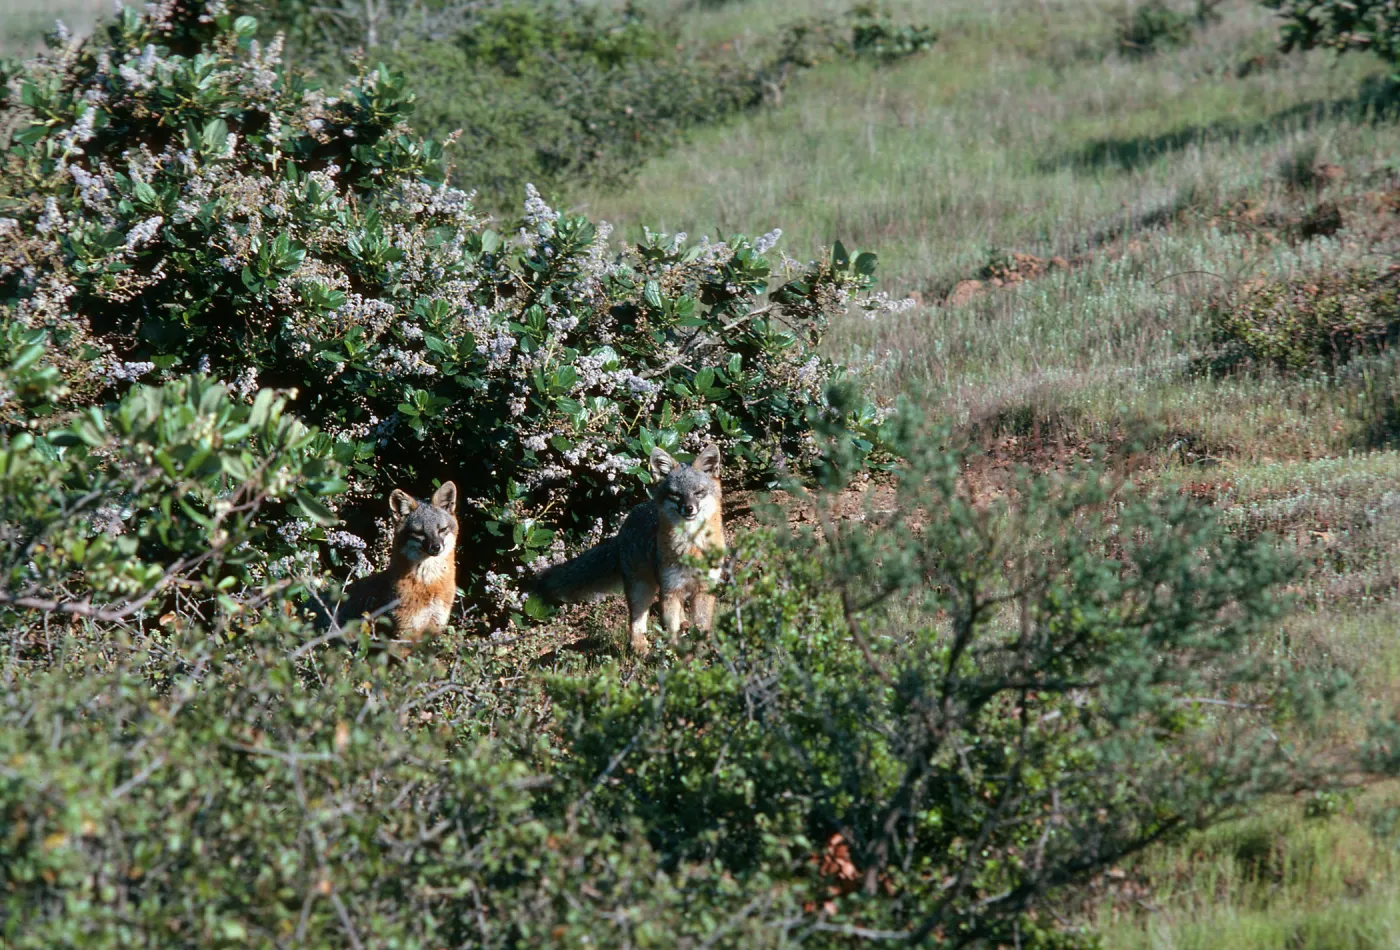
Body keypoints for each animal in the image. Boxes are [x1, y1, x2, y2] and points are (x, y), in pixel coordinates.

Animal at [329, 481, 458, 640]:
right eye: (419, 533)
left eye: (442, 529)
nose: (436, 547)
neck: (430, 586)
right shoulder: (404, 632)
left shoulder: (435, 628)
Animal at [534, 444, 726, 656]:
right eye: (675, 494)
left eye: (699, 492)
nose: (688, 508)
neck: (692, 548)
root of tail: (625, 524)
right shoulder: (670, 589)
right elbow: (671, 630)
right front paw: (676, 656)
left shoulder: (704, 588)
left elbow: (701, 626)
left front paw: (700, 652)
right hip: (641, 590)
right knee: (635, 621)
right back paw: (639, 646)